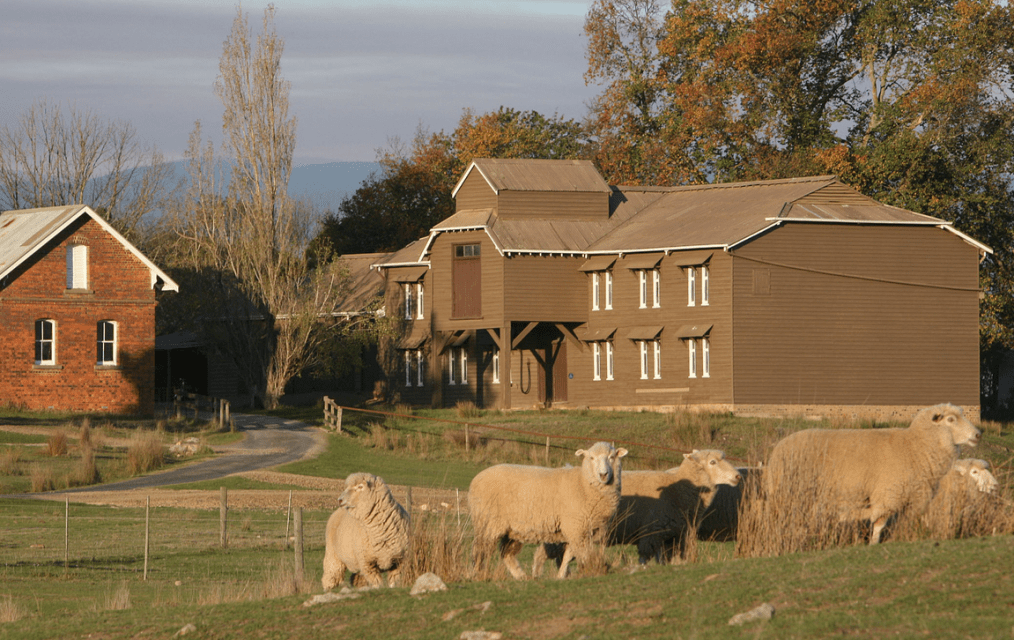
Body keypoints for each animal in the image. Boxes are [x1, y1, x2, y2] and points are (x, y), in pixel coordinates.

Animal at [466, 440, 624, 580]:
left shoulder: (583, 529)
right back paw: (477, 574)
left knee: (507, 553)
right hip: (487, 523)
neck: (583, 483)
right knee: (479, 549)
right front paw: (589, 569)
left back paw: (521, 576)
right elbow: (580, 554)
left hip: (512, 529)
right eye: (591, 458)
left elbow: (569, 555)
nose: (603, 474)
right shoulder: (575, 527)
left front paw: (561, 575)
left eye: (611, 457)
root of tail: (475, 479)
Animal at [762, 403, 977, 543]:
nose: (978, 434)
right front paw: (873, 544)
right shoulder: (886, 494)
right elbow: (880, 524)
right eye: (951, 419)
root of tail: (777, 450)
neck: (914, 446)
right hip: (787, 493)